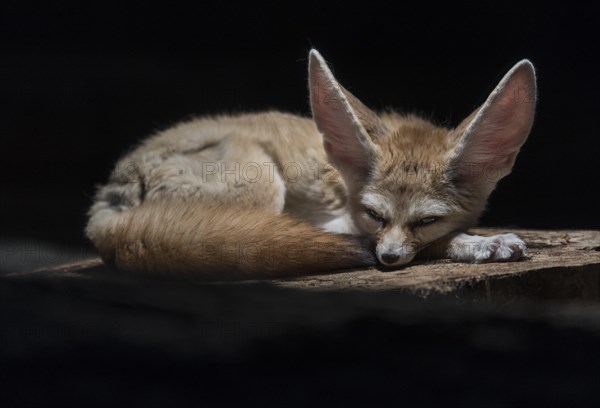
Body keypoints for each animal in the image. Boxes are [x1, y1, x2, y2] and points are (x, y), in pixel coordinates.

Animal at [85, 49, 540, 278]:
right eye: (374, 214)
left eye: (426, 219)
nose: (389, 259)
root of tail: (109, 198)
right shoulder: (342, 221)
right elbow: (428, 244)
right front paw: (478, 242)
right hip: (261, 186)